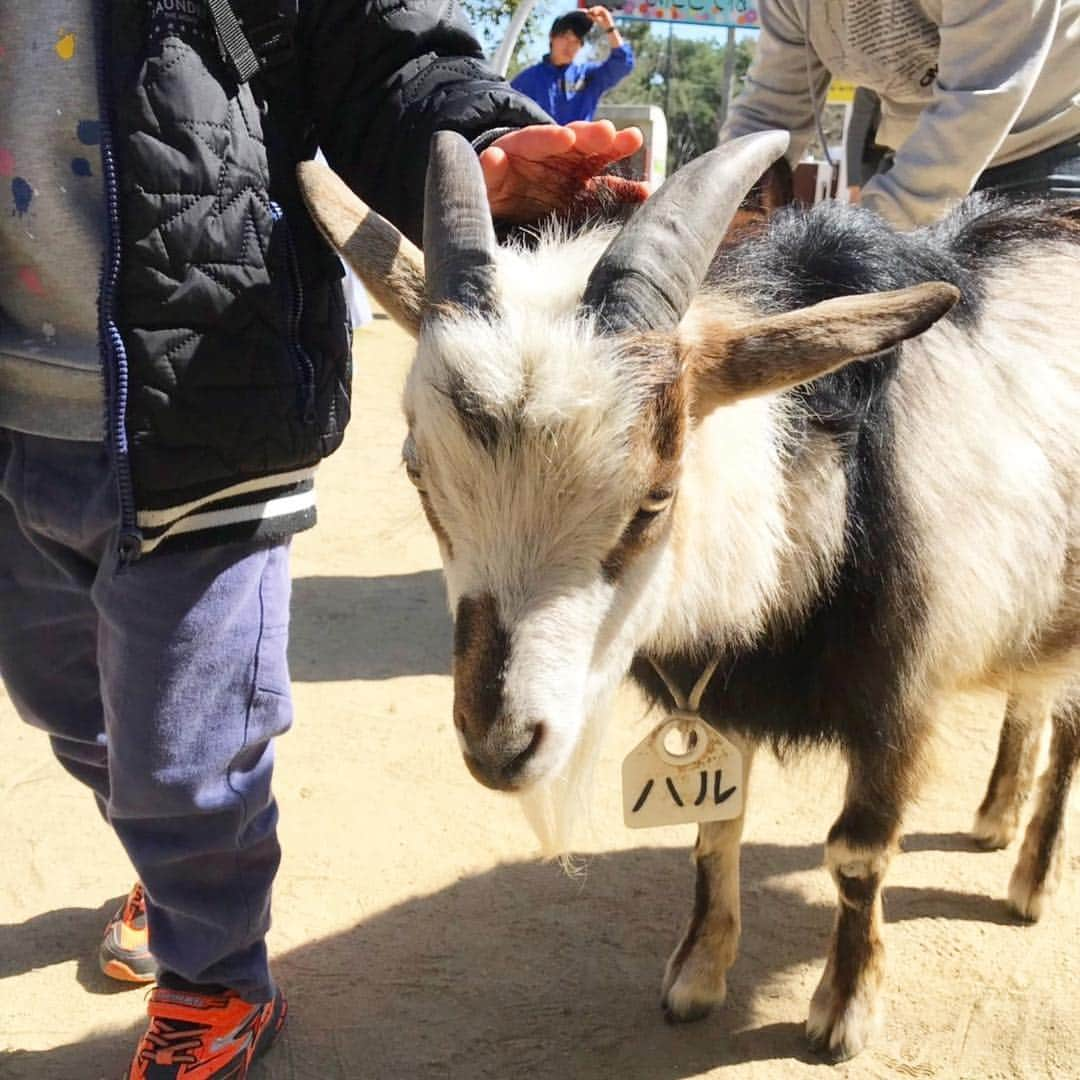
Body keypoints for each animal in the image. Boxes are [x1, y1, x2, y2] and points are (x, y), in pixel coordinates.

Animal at [300, 130, 1080, 1058]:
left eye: (655, 497)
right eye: (418, 473)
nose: (501, 747)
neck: (820, 487)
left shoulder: (902, 694)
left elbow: (858, 853)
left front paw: (844, 1010)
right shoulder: (722, 694)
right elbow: (714, 830)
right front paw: (697, 976)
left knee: (1066, 732)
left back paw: (1030, 880)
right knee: (1027, 699)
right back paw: (993, 816)